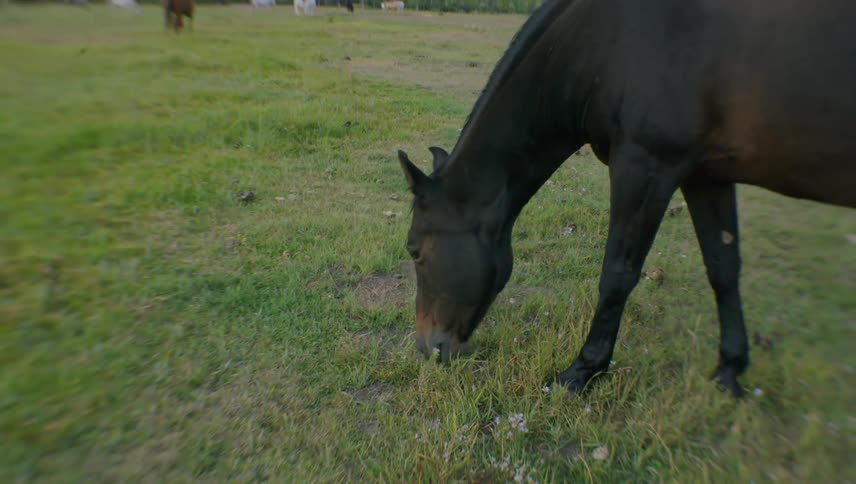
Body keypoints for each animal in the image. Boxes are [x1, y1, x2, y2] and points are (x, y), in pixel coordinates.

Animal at [397, 0, 856, 398]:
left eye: (415, 250)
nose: (426, 348)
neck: (606, 43)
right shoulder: (706, 175)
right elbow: (723, 268)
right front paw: (729, 372)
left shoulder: (644, 166)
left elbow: (617, 274)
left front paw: (581, 372)